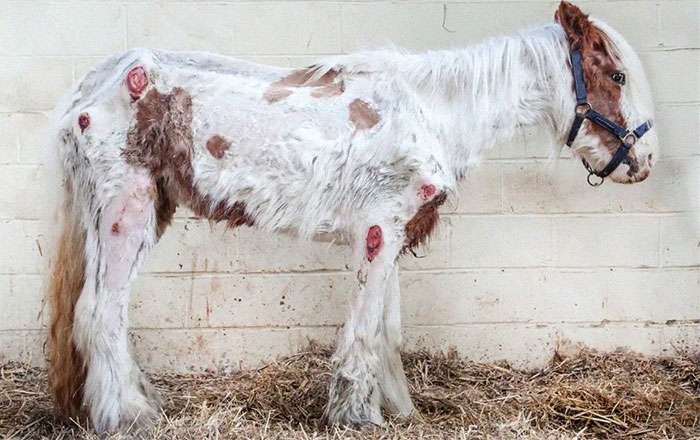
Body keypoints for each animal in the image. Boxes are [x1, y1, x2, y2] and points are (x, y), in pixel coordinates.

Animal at [46, 1, 658, 433]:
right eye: (618, 77)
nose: (646, 162)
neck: (431, 112)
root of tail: (93, 84)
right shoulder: (379, 231)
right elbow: (364, 329)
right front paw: (356, 414)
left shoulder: (393, 232)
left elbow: (388, 330)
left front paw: (398, 408)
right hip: (126, 211)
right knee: (101, 313)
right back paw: (130, 417)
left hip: (135, 212)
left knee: (93, 314)